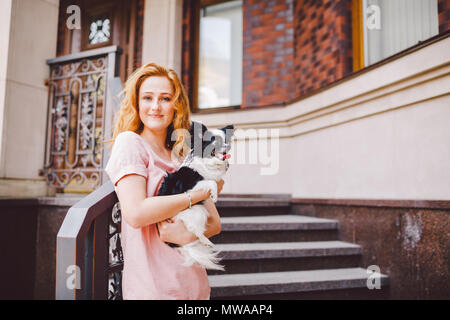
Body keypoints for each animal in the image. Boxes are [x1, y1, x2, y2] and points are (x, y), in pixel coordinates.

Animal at [157, 120, 236, 270]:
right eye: (216, 141)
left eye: (227, 140)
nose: (228, 146)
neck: (209, 163)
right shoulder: (190, 186)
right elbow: (211, 182)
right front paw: (214, 194)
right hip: (198, 211)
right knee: (195, 231)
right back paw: (206, 241)